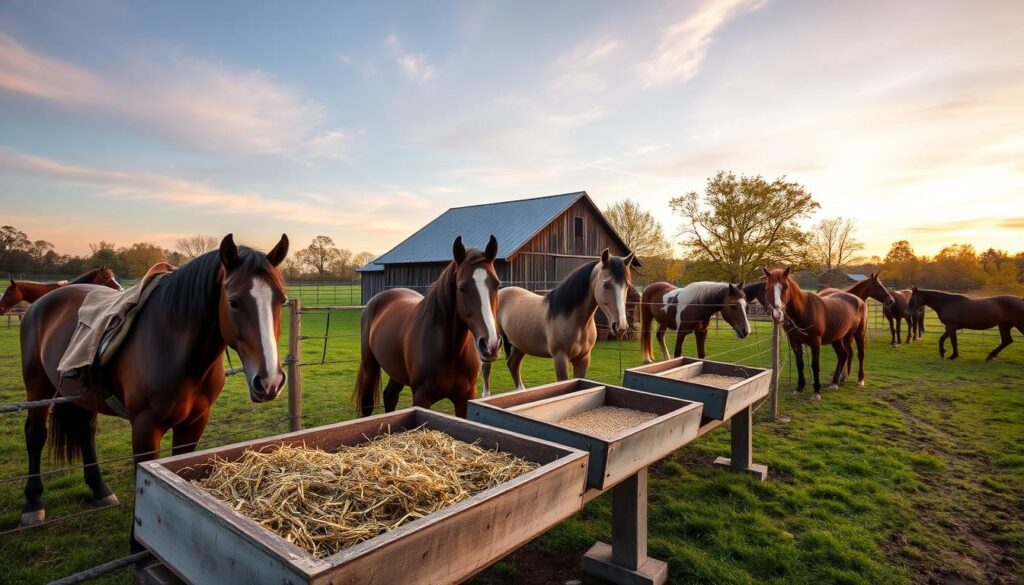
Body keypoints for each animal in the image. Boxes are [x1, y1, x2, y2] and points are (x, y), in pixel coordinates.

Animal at [20, 235, 292, 528]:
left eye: (281, 301)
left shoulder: (194, 424)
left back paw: (100, 490)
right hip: (38, 387)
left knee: (85, 431)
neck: (174, 345)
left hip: (84, 397)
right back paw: (33, 504)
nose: (270, 381)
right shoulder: (145, 429)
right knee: (36, 434)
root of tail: (41, 301)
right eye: (233, 302)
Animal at [354, 235, 501, 418]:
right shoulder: (421, 398)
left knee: (390, 397)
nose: (490, 344)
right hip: (370, 366)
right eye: (461, 287)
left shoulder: (464, 398)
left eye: (497, 284)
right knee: (368, 404)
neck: (451, 352)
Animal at [483, 247, 634, 391]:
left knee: (513, 365)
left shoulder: (583, 358)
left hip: (520, 344)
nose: (621, 326)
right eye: (606, 285)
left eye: (627, 285)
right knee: (486, 369)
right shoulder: (560, 358)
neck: (575, 321)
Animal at [765, 268, 868, 401]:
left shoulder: (815, 342)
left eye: (785, 286)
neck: (803, 311)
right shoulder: (795, 342)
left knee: (859, 354)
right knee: (843, 355)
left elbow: (815, 365)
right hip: (837, 339)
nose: (777, 314)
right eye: (767, 288)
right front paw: (800, 388)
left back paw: (860, 380)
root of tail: (859, 300)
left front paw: (816, 392)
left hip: (855, 334)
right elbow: (800, 364)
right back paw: (835, 382)